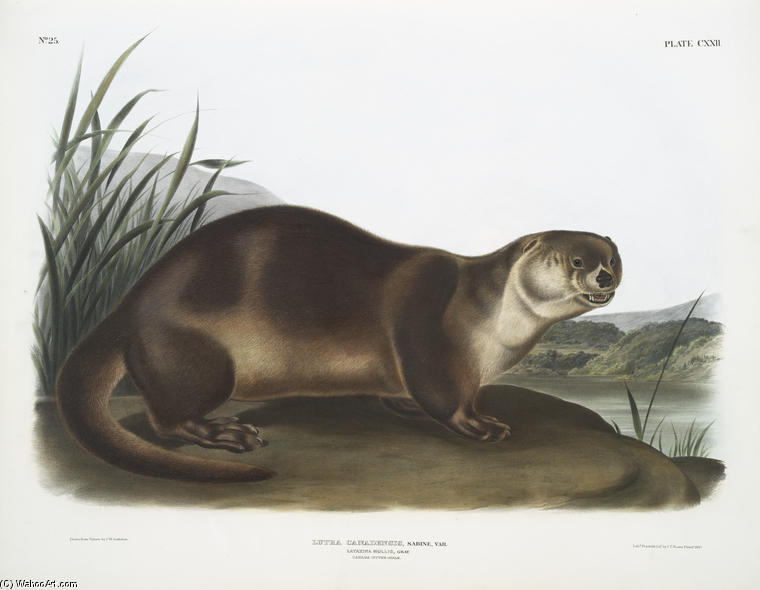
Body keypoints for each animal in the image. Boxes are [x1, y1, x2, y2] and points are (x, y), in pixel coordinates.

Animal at [56, 205, 622, 482]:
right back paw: (225, 432)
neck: (492, 322)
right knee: (167, 417)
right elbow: (442, 393)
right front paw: (480, 423)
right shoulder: (427, 326)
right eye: (575, 260)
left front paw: (406, 407)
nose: (604, 277)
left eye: (613, 258)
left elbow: (407, 392)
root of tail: (129, 305)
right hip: (196, 354)